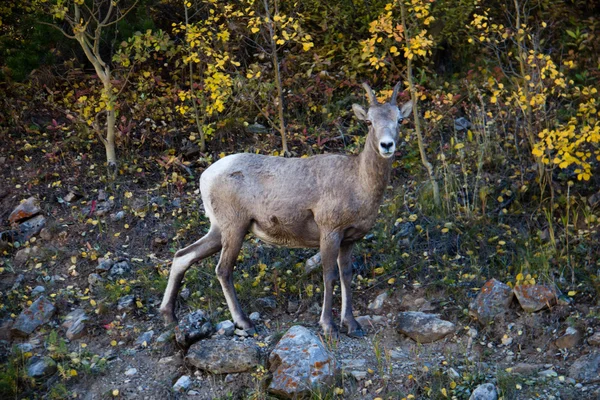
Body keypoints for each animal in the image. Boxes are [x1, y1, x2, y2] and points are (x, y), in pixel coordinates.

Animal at [159, 82, 412, 338]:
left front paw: (352, 325)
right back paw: (244, 323)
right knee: (223, 269)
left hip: (218, 230)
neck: (358, 183)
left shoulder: (349, 239)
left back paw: (169, 316)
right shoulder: (329, 232)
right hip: (234, 228)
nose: (387, 145)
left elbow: (346, 276)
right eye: (369, 122)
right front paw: (328, 326)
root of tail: (205, 177)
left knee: (183, 256)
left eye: (400, 119)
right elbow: (329, 276)